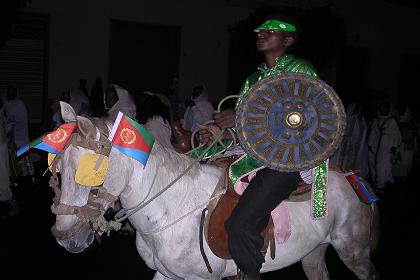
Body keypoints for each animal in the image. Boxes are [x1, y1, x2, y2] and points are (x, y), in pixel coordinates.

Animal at [50, 109, 378, 278]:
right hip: (313, 253)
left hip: (354, 252)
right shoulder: (167, 275)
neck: (169, 211)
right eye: (58, 170)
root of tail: (355, 178)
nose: (65, 238)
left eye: (89, 172)